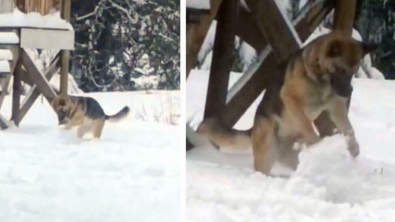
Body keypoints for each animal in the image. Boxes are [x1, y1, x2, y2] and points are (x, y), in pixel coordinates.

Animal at [196, 32, 378, 175]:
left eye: (354, 72)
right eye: (341, 70)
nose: (349, 91)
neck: (320, 79)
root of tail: (253, 129)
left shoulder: (336, 107)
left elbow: (349, 128)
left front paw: (353, 148)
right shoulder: (291, 99)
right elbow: (306, 124)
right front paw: (317, 143)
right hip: (267, 153)